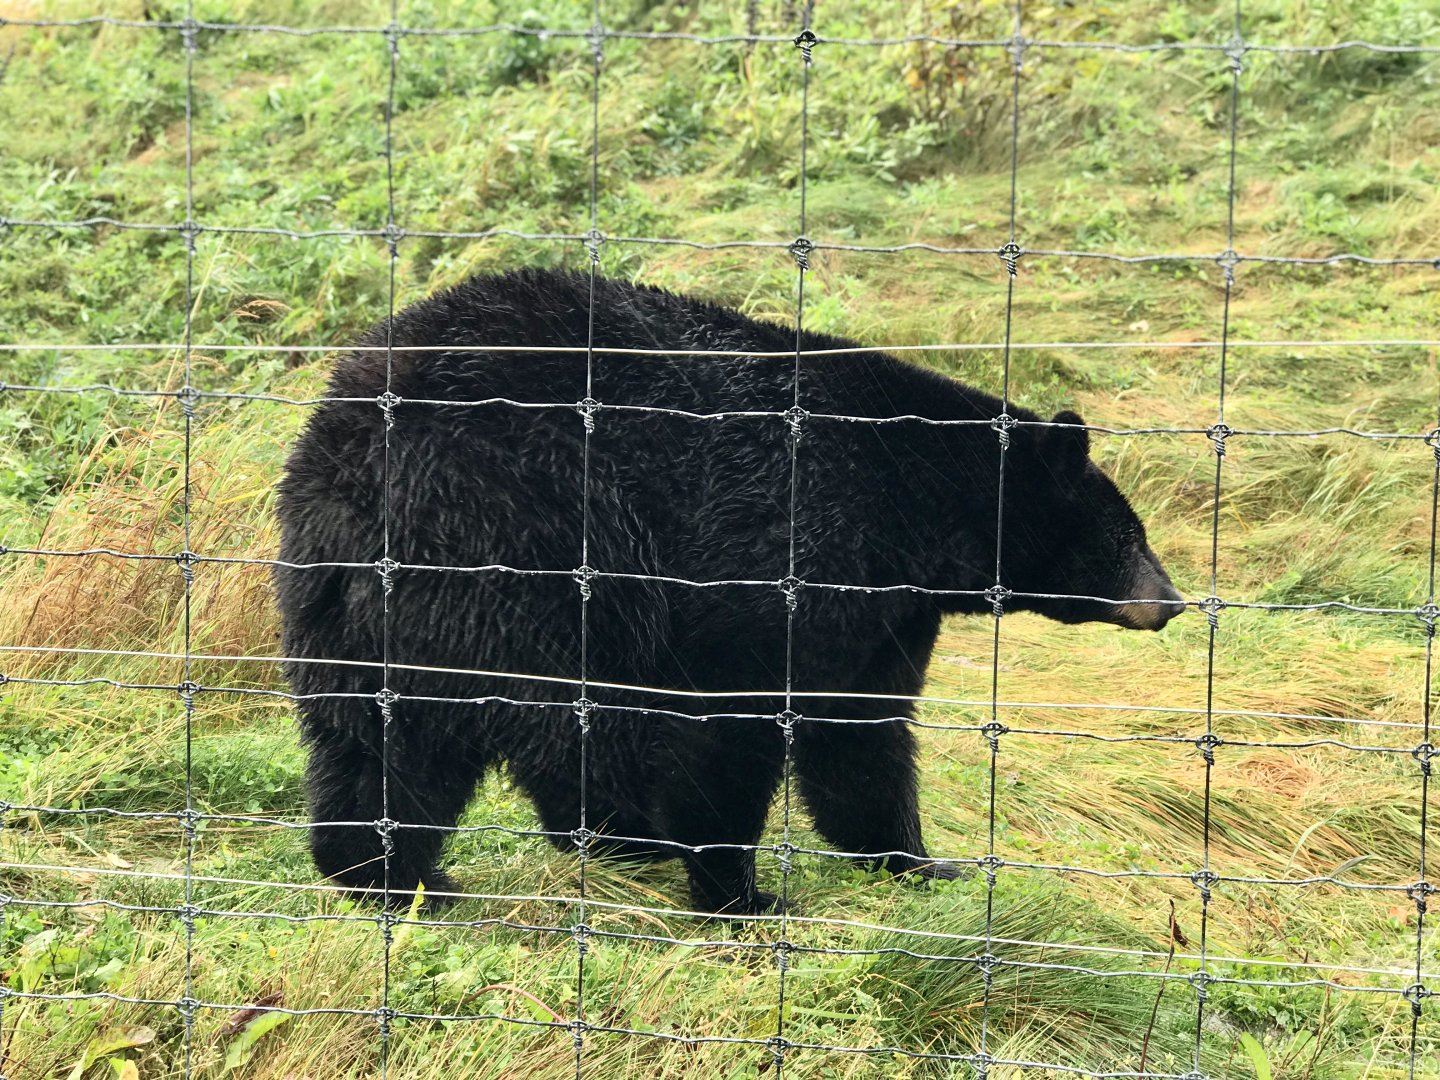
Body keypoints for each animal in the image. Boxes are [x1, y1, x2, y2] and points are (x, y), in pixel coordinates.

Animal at [274, 268, 1184, 915]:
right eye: (1129, 536)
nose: (1171, 600)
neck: (920, 507)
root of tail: (349, 455)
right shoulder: (784, 553)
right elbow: (734, 723)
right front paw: (741, 894)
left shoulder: (884, 612)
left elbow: (861, 731)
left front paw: (919, 863)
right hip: (518, 555)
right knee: (525, 729)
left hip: (340, 602)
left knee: (368, 735)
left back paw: (382, 871)